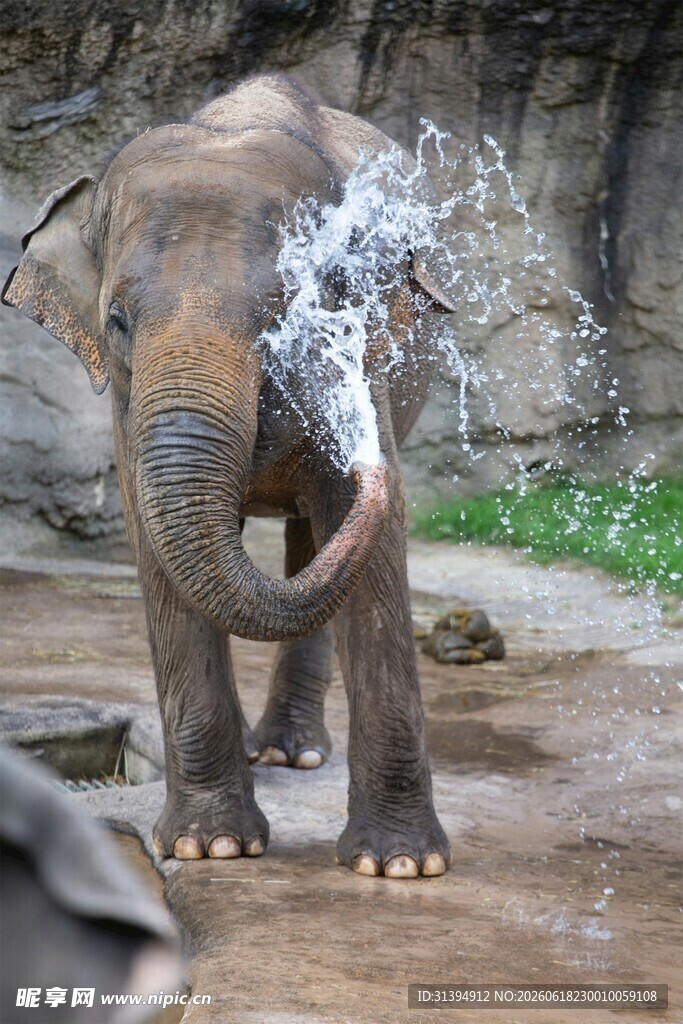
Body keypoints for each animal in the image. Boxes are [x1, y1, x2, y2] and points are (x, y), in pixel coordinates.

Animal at [3, 74, 455, 879]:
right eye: (117, 320)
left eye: (284, 312)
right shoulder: (128, 405)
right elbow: (154, 542)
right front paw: (209, 847)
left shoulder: (363, 360)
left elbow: (369, 538)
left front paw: (399, 867)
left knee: (313, 539)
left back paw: (290, 754)